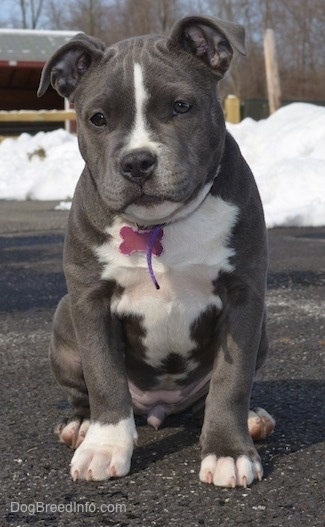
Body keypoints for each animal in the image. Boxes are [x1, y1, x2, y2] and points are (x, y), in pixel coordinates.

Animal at [38, 15, 276, 486]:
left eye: (182, 106)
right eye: (98, 118)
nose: (137, 162)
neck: (160, 226)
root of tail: (160, 409)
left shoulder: (243, 296)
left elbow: (232, 380)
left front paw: (228, 451)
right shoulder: (90, 299)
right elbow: (104, 376)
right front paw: (105, 446)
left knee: (214, 395)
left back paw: (252, 419)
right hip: (63, 315)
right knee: (83, 392)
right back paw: (80, 424)